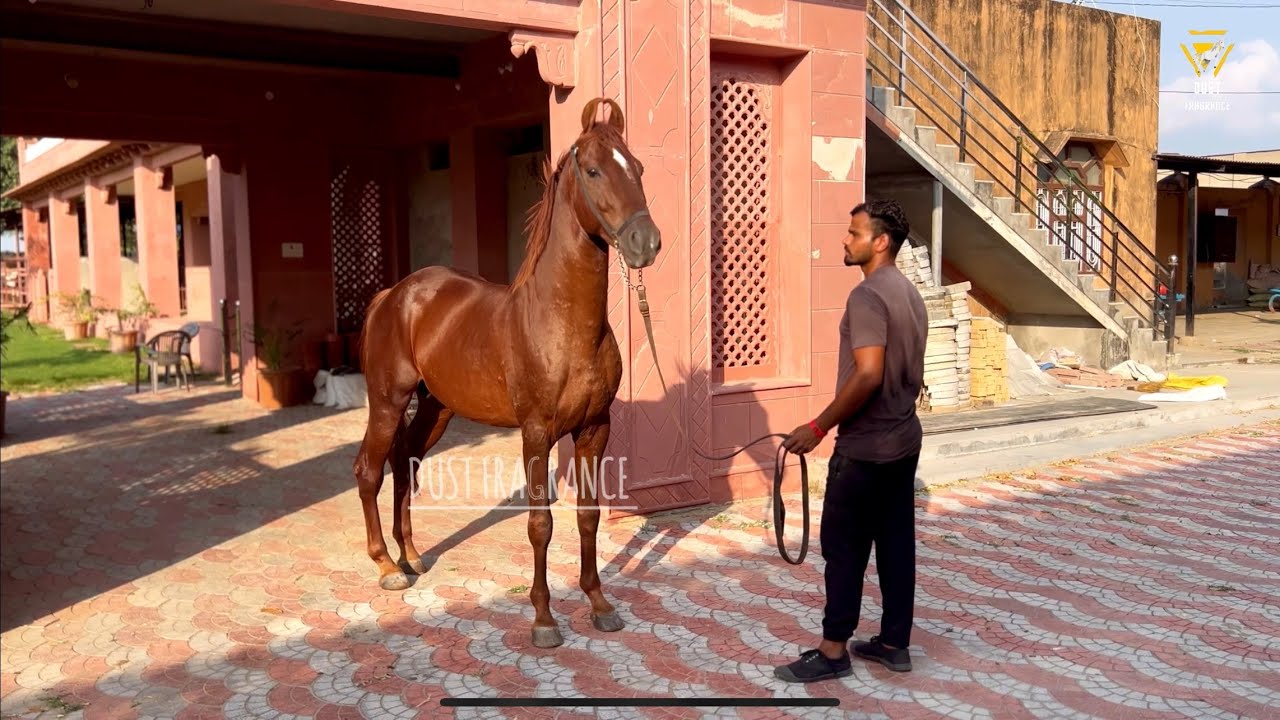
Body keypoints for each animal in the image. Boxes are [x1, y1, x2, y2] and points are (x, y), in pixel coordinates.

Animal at [352, 97, 661, 649]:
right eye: (593, 170)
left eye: (638, 168)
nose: (645, 241)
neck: (561, 323)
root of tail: (393, 295)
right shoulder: (536, 433)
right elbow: (540, 524)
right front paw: (543, 619)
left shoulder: (595, 428)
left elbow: (588, 518)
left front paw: (599, 604)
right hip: (387, 401)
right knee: (369, 470)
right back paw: (387, 567)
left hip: (436, 409)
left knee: (405, 464)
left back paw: (411, 557)